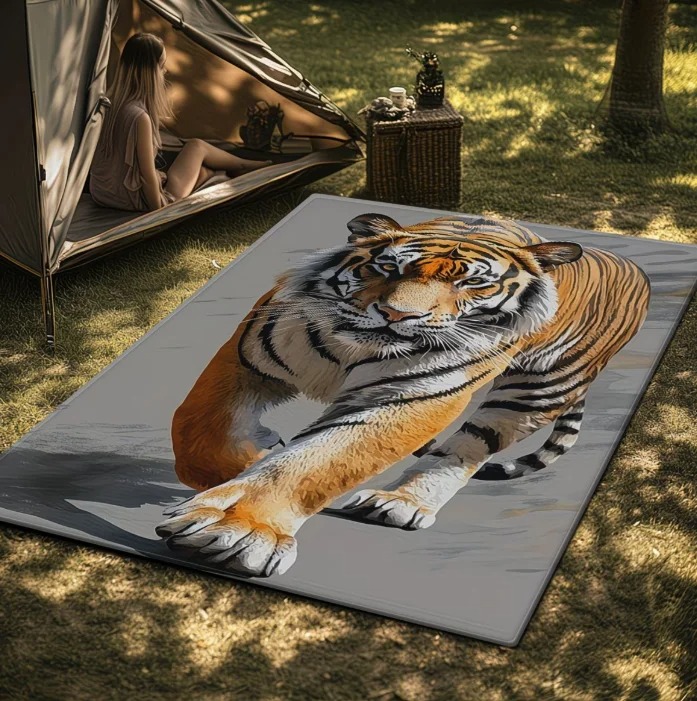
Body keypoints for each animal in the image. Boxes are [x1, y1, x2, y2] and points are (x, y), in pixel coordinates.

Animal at [156, 212, 650, 577]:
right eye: (388, 267)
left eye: (472, 283)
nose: (396, 315)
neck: (349, 347)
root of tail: (630, 265)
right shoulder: (249, 357)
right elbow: (194, 430)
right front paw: (247, 461)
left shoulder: (407, 397)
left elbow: (315, 463)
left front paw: (242, 530)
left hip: (535, 391)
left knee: (470, 447)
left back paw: (400, 504)